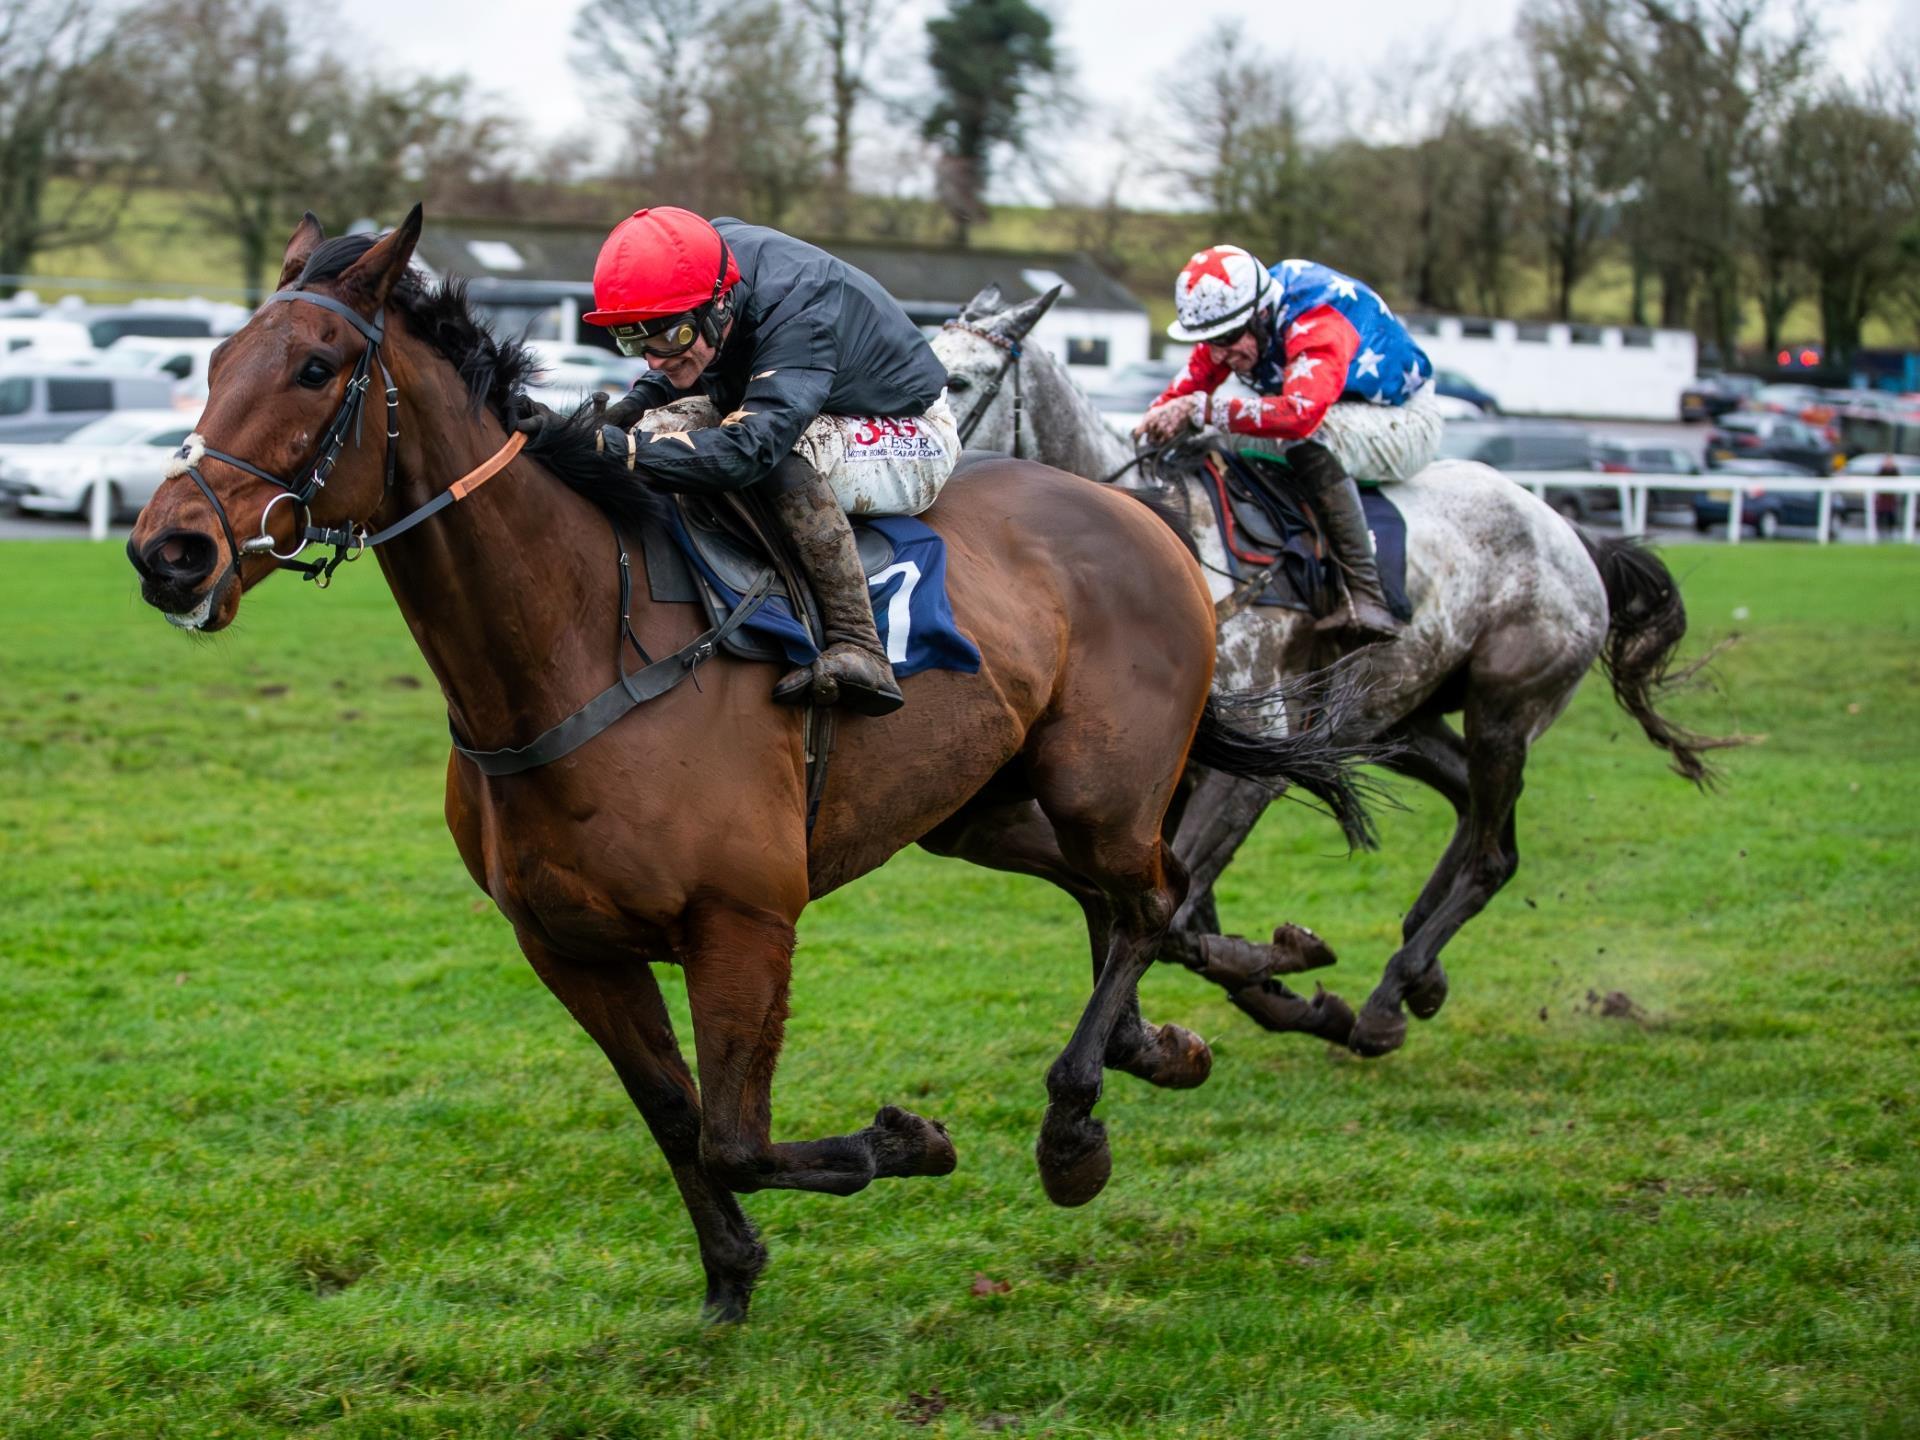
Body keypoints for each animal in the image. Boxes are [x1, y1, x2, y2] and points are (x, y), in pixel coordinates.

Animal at [127, 208, 1374, 1328]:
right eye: (216, 362)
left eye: (316, 367)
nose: (168, 552)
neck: (576, 647)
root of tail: (1138, 510)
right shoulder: (568, 947)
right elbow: (679, 1119)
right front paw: (731, 1272)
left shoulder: (743, 922)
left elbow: (735, 1135)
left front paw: (907, 1141)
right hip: (978, 807)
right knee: (1127, 900)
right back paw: (1206, 1022)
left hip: (1098, 784)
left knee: (1151, 897)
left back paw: (1080, 1123)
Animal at [933, 288, 1743, 1059]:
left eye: (960, 378)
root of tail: (1570, 533)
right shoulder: (1173, 780)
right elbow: (1183, 919)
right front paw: (1295, 1002)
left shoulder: (1248, 769)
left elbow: (1180, 922)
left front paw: (1291, 979)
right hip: (1400, 719)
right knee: (1471, 807)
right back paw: (1418, 970)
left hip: (1505, 711)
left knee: (1493, 854)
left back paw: (1391, 997)